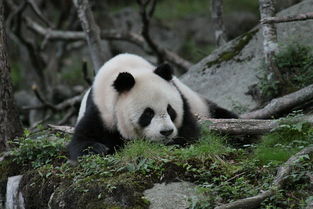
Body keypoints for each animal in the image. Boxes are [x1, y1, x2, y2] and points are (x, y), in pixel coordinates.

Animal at [67, 53, 234, 160]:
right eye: (148, 113)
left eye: (170, 110)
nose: (166, 132)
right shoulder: (100, 109)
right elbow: (81, 139)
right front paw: (98, 148)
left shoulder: (183, 100)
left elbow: (190, 135)